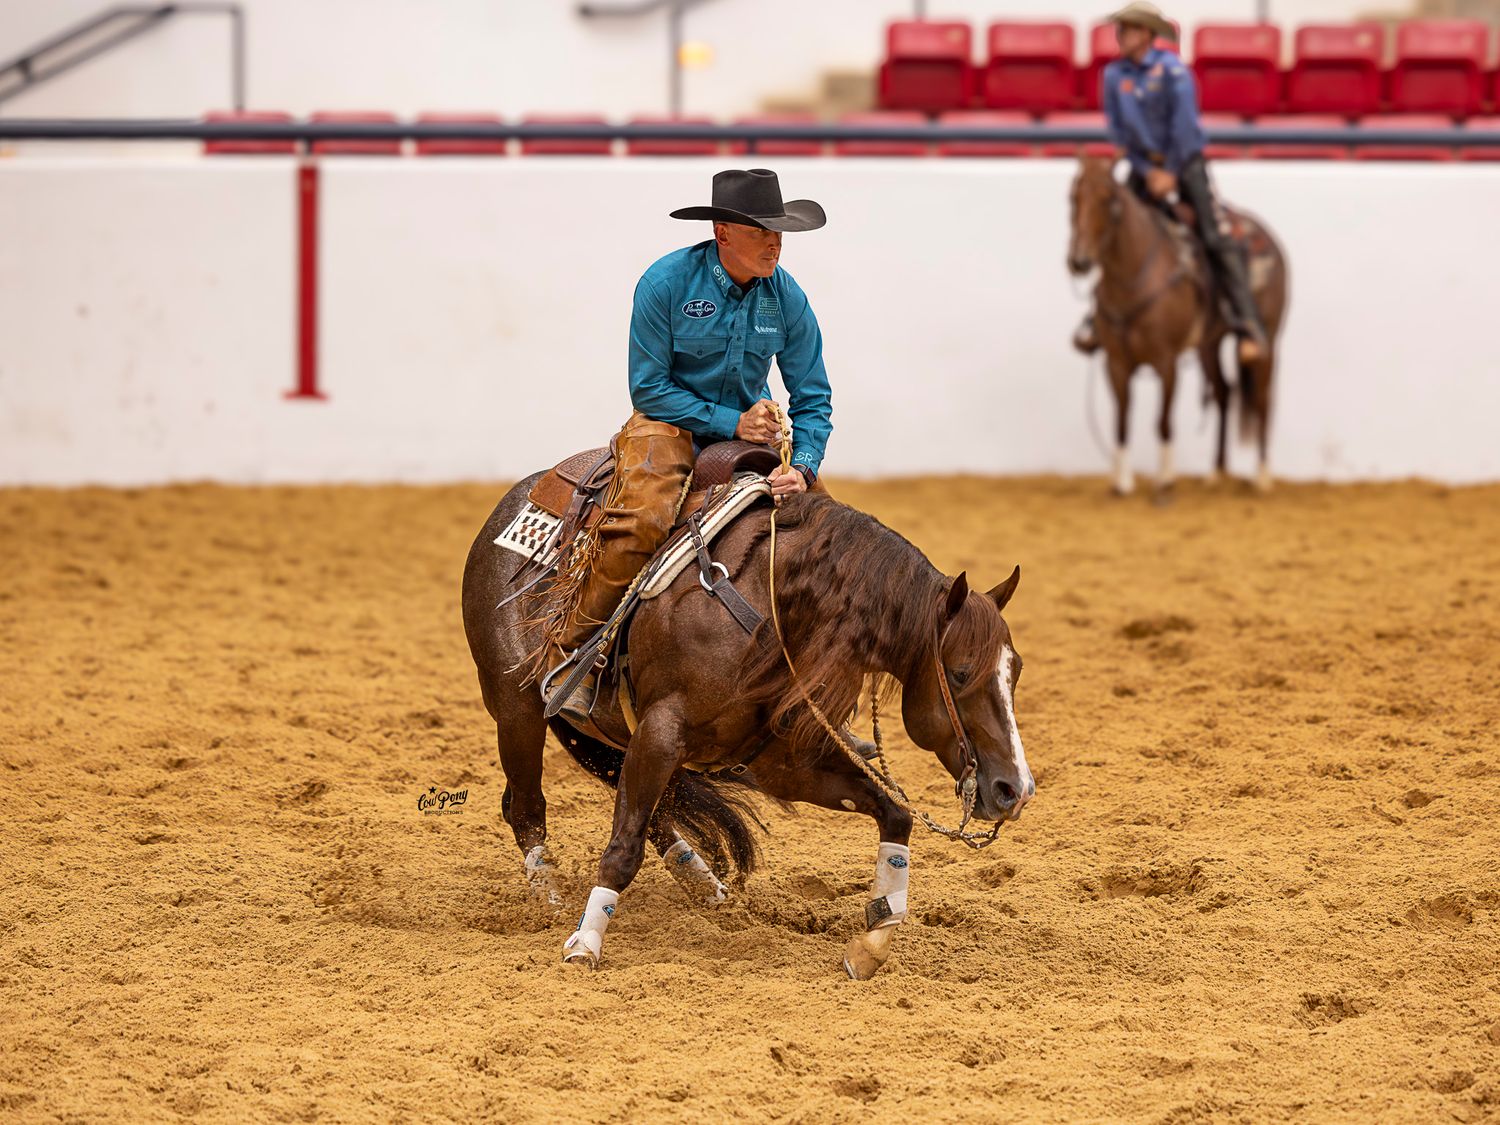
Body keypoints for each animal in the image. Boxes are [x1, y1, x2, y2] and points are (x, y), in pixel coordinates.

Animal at [461, 475, 1034, 978]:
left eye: (1017, 669)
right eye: (960, 673)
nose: (1017, 790)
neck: (775, 606)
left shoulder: (784, 763)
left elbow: (895, 815)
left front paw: (871, 945)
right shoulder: (662, 730)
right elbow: (622, 850)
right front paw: (584, 945)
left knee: (650, 814)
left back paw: (705, 886)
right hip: (517, 710)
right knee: (526, 807)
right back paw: (550, 900)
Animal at [1067, 155, 1290, 496]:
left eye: (1110, 200)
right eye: (1072, 198)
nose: (1079, 261)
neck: (1136, 279)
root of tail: (1268, 238)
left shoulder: (1166, 362)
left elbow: (1163, 420)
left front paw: (1165, 480)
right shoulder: (1115, 363)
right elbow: (1121, 418)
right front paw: (1122, 482)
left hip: (1268, 338)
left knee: (1262, 399)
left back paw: (1262, 477)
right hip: (1209, 344)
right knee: (1223, 392)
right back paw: (1216, 472)